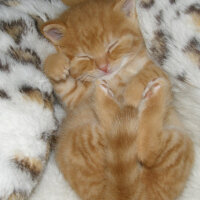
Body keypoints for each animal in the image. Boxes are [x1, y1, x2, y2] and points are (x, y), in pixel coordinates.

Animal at [41, 0, 194, 199]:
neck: (117, 76)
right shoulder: (76, 98)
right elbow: (64, 85)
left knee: (148, 152)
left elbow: (148, 72)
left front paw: (131, 93)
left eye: (112, 46)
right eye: (85, 57)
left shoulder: (161, 72)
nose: (104, 67)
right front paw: (55, 64)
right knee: (137, 146)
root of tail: (118, 193)